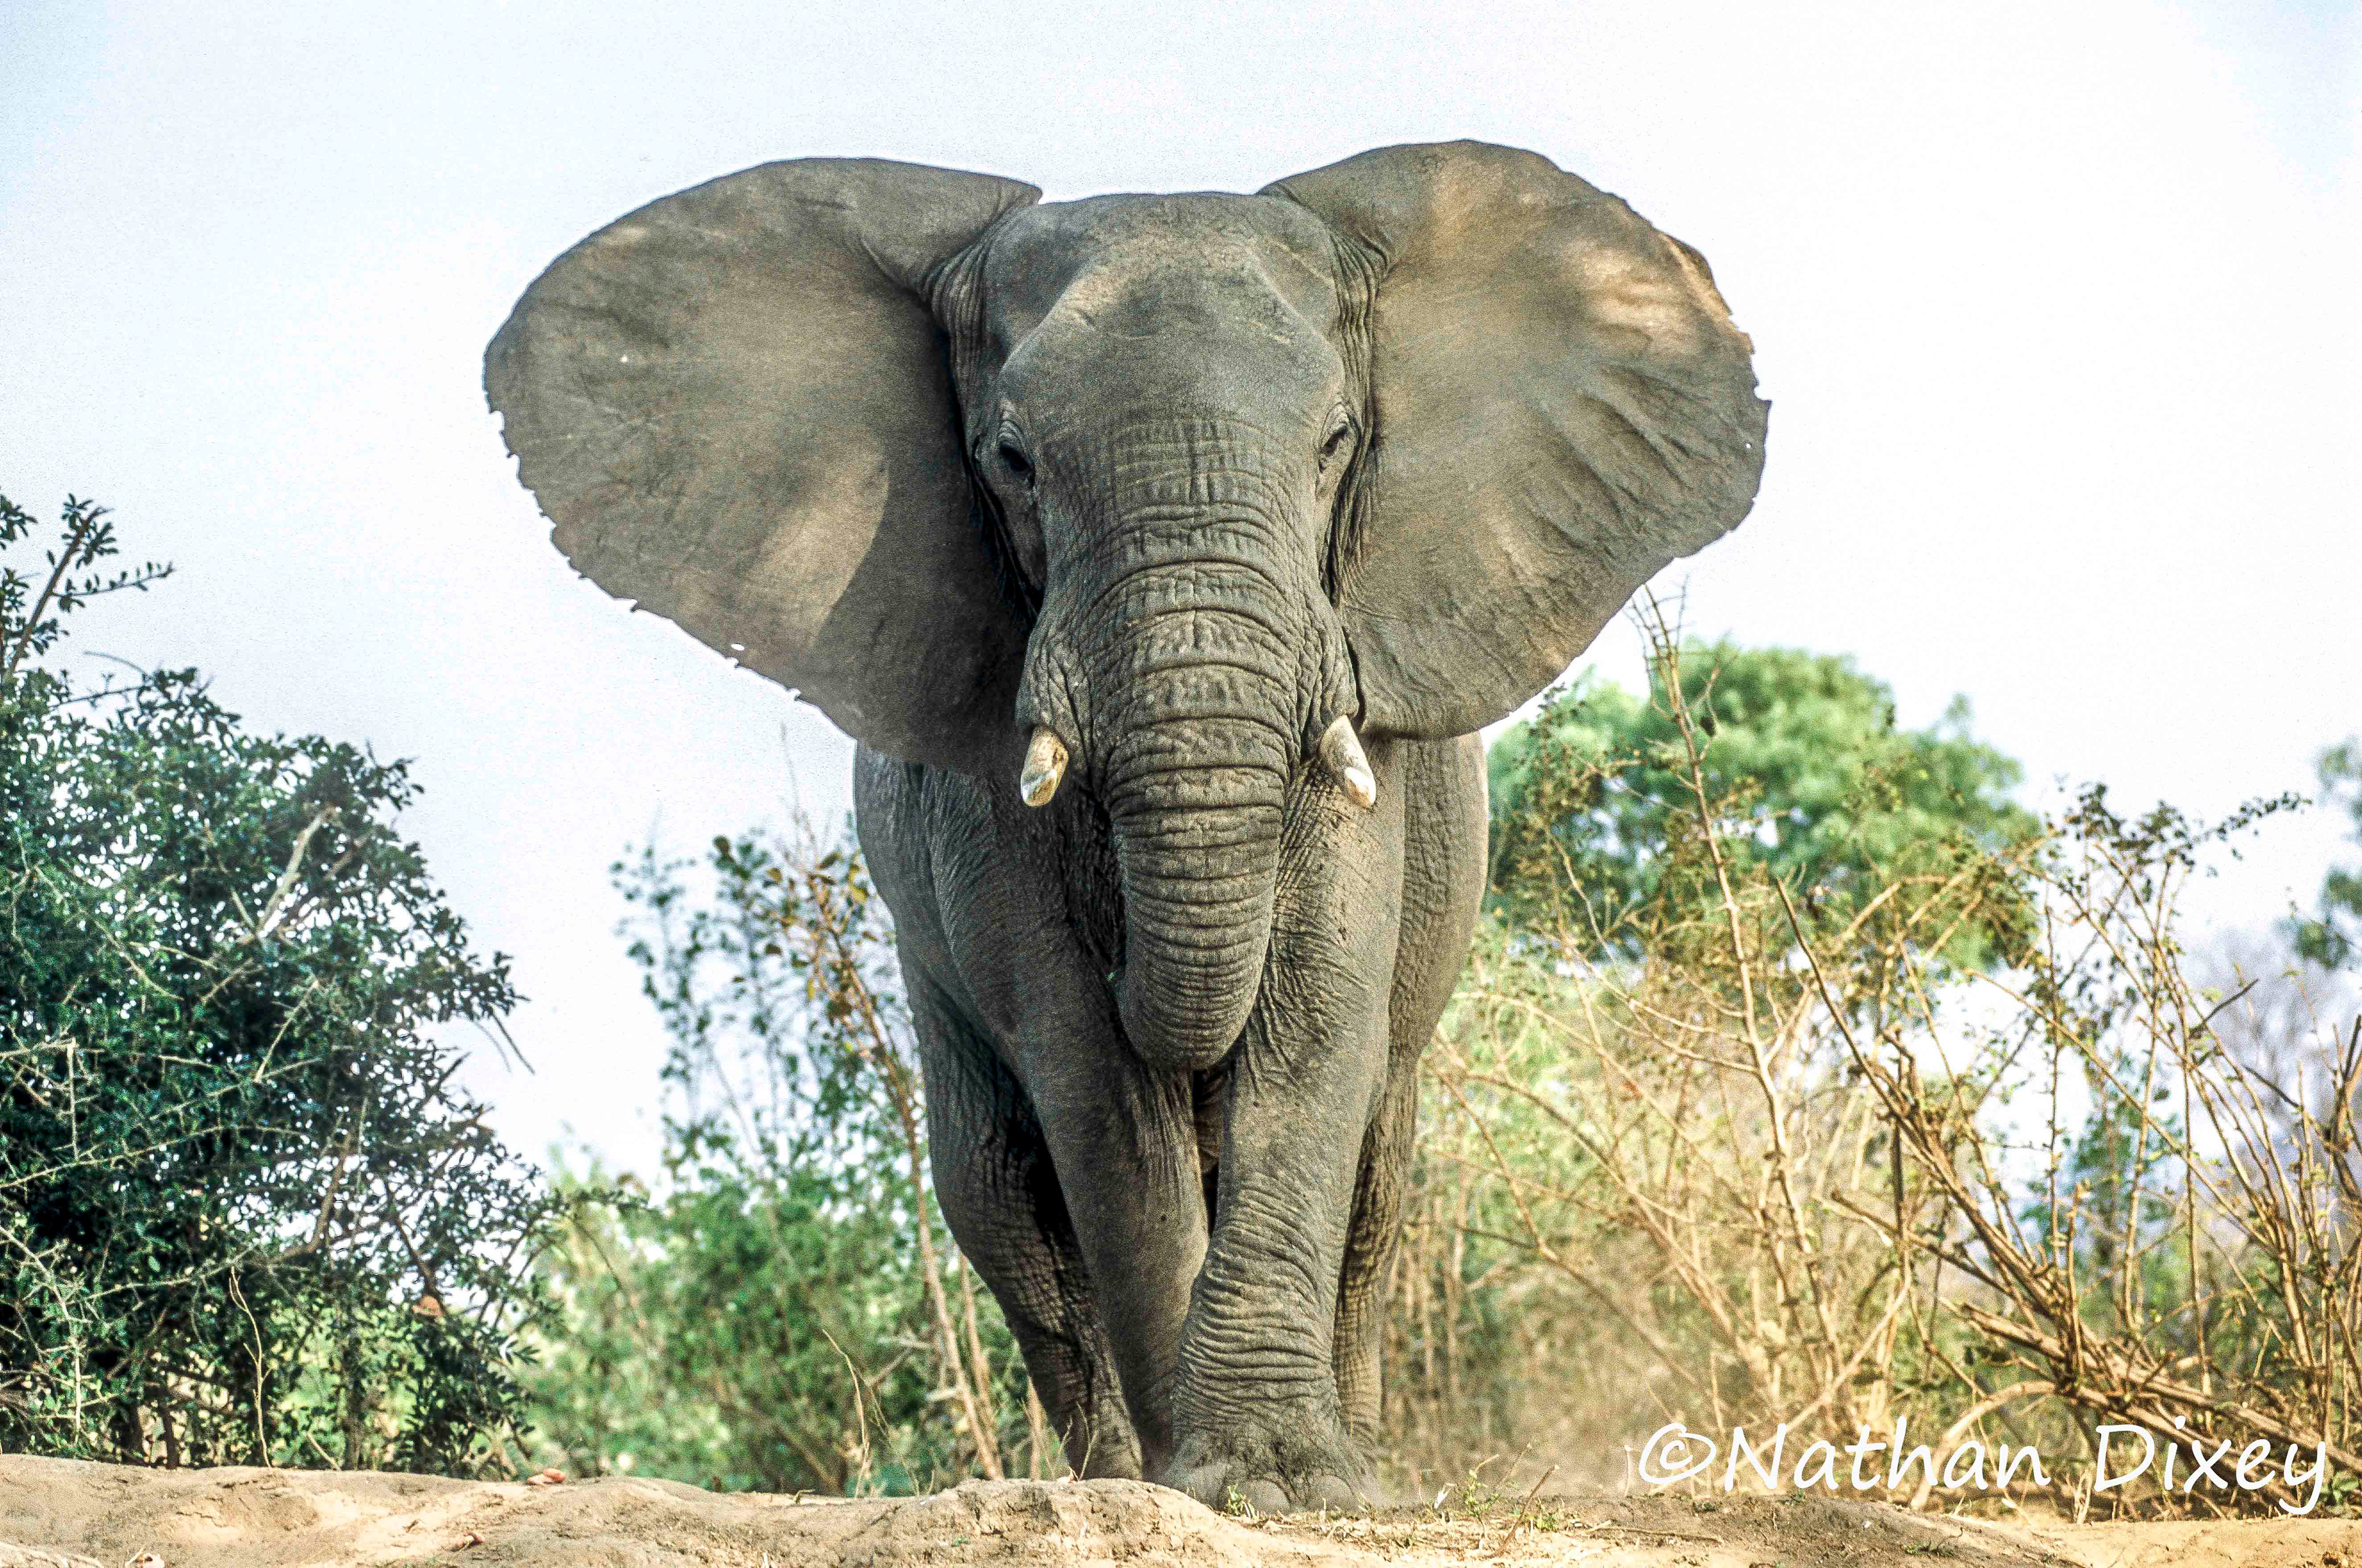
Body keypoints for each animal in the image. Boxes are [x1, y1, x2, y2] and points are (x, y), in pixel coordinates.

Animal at [485, 139, 1765, 1511]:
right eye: (1011, 460)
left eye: (1336, 443)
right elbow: (1097, 1076)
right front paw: (1198, 1481)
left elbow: (1312, 1026)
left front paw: (1290, 1486)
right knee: (996, 1189)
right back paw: (1106, 1471)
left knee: (1377, 1175)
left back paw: (1363, 1466)